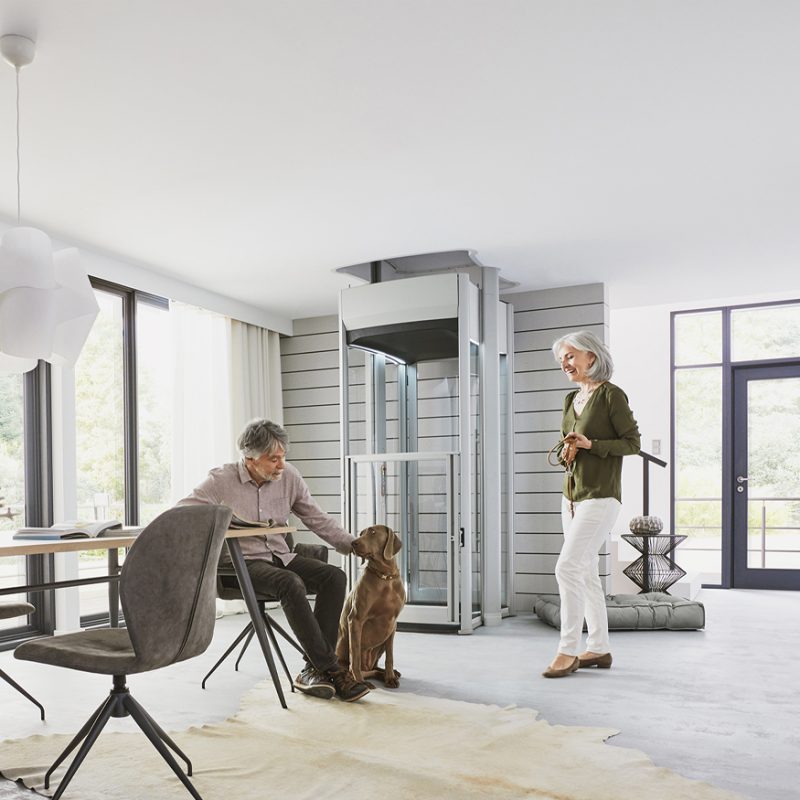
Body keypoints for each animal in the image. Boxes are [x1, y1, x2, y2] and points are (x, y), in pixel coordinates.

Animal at [334, 524, 404, 688]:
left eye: (372, 532)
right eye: (361, 533)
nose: (353, 543)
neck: (385, 577)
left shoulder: (393, 623)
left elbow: (390, 656)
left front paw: (390, 677)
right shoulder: (355, 619)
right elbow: (355, 656)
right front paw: (359, 681)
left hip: (382, 642)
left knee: (374, 668)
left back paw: (389, 673)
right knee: (352, 666)